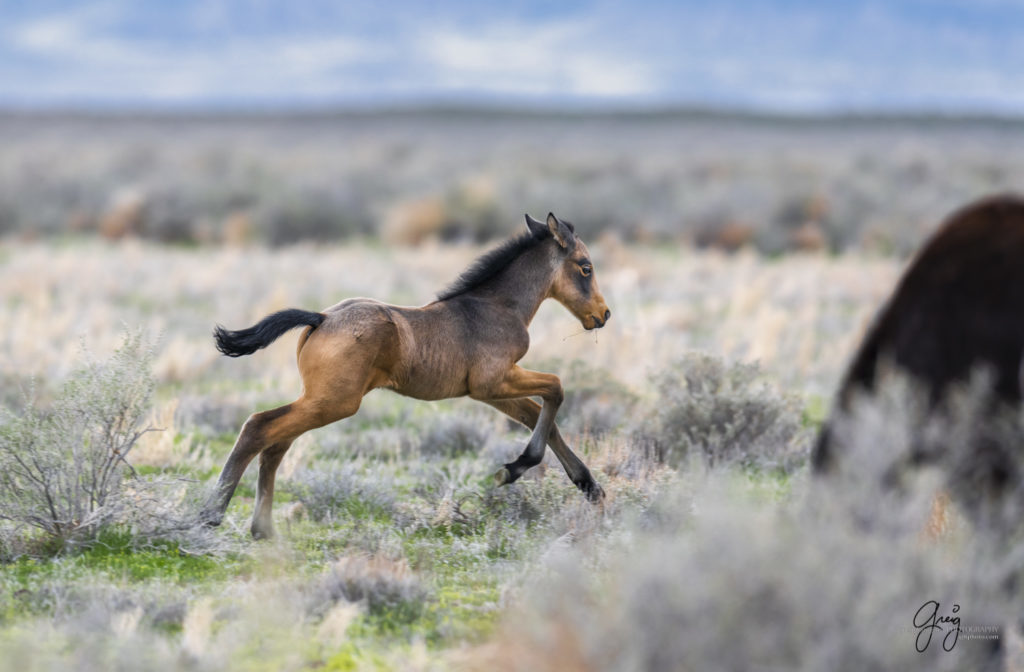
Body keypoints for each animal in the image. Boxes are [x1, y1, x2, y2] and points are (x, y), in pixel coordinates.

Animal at [203, 213, 610, 536]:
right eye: (585, 267)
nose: (603, 315)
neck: (496, 307)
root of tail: (321, 318)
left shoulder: (491, 391)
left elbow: (539, 416)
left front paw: (589, 487)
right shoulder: (493, 381)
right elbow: (556, 389)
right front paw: (513, 469)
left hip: (319, 399)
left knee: (276, 442)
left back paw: (262, 529)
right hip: (335, 401)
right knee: (258, 427)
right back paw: (211, 515)